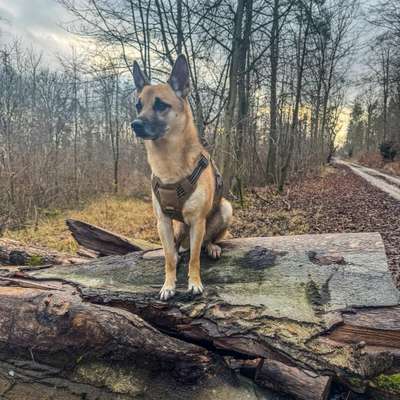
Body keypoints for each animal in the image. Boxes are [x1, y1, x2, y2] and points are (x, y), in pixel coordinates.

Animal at [132, 55, 231, 300]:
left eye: (160, 105)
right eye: (138, 105)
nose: (135, 124)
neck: (169, 163)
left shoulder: (197, 221)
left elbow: (194, 258)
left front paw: (194, 283)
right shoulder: (163, 223)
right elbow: (168, 257)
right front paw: (168, 285)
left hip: (225, 209)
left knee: (206, 241)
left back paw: (212, 246)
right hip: (176, 229)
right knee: (177, 248)